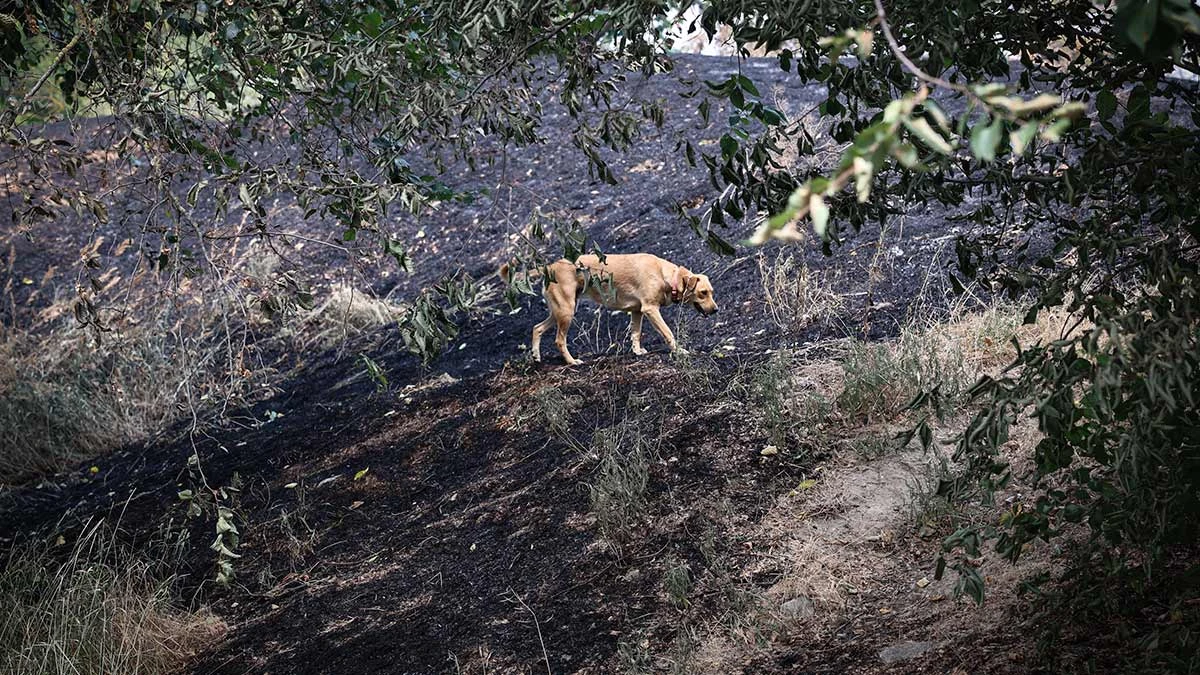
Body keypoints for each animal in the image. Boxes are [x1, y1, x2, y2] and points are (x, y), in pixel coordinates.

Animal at [499, 252, 720, 365]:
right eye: (703, 293)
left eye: (712, 292)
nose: (716, 310)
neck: (665, 276)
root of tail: (550, 267)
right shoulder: (650, 310)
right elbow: (668, 333)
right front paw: (679, 350)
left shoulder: (637, 312)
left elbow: (635, 334)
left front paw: (637, 352)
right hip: (566, 312)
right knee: (559, 340)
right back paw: (571, 362)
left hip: (559, 311)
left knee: (537, 328)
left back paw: (536, 355)